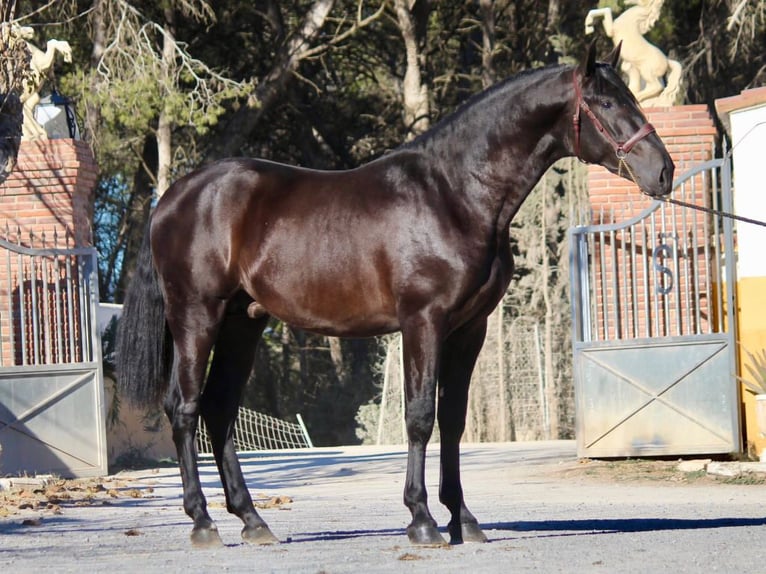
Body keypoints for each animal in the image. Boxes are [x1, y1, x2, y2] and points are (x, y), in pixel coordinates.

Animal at [117, 45, 676, 548]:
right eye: (607, 103)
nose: (664, 171)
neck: (454, 194)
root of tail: (173, 197)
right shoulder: (422, 321)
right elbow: (420, 416)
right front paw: (422, 521)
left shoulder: (469, 329)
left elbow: (453, 420)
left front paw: (463, 520)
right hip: (197, 315)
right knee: (185, 408)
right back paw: (203, 522)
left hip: (244, 321)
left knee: (219, 409)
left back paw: (253, 521)